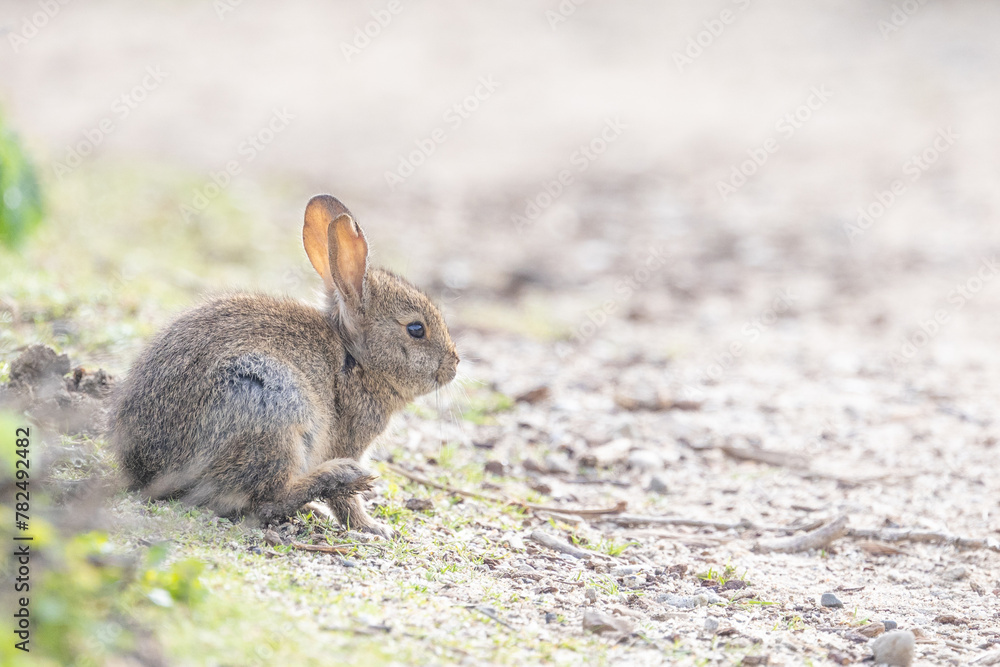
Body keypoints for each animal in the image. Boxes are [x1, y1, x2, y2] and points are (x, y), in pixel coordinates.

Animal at [109, 194, 459, 538]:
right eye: (416, 329)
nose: (454, 365)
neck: (355, 359)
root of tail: (149, 471)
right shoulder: (346, 441)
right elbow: (346, 502)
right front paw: (374, 527)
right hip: (272, 409)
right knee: (265, 500)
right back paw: (337, 478)